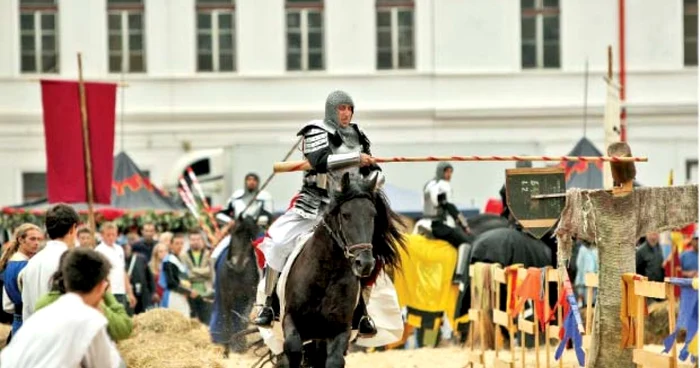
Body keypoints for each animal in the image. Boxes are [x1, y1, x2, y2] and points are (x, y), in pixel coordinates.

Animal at [211, 216, 262, 356]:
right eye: (234, 233)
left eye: (251, 238)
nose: (237, 264)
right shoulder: (227, 296)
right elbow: (227, 319)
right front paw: (227, 350)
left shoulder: (250, 296)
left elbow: (243, 319)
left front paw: (240, 344)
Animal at [280, 175, 404, 368]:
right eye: (346, 215)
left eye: (373, 215)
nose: (365, 263)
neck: (325, 275)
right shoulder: (291, 319)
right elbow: (293, 350)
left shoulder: (339, 330)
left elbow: (335, 360)